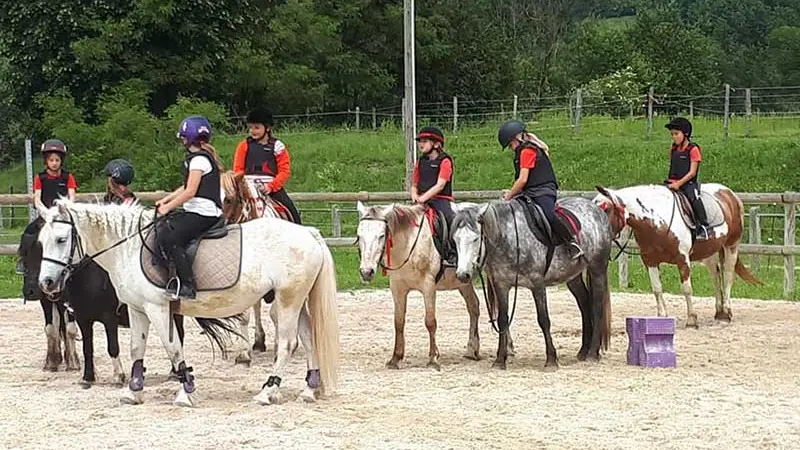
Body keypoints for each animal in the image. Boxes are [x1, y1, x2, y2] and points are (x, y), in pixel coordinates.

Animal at [34, 199, 340, 406]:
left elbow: (173, 347)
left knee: (288, 343)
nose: (46, 283)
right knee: (308, 339)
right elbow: (136, 348)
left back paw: (268, 391)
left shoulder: (158, 308)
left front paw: (185, 391)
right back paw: (309, 389)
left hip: (287, 301)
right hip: (296, 301)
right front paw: (133, 391)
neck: (129, 248)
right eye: (41, 241)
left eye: (61, 239)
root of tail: (308, 232)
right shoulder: (137, 310)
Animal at [220, 171, 298, 364]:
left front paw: (279, 349)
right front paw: (243, 353)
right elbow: (244, 315)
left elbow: (276, 314)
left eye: (229, 199)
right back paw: (258, 341)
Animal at [358, 201, 484, 370]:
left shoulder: (428, 286)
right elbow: (398, 322)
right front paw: (395, 358)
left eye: (381, 236)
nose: (366, 272)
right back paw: (472, 350)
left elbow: (430, 322)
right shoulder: (397, 288)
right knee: (473, 307)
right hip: (464, 282)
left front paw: (433, 359)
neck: (409, 246)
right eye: (359, 236)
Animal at [450, 197, 612, 370]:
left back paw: (592, 353)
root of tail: (597, 209)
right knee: (584, 303)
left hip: (598, 270)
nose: (462, 274)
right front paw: (500, 360)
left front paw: (551, 360)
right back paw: (583, 351)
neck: (509, 238)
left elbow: (544, 320)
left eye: (475, 238)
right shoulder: (502, 286)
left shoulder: (537, 284)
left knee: (597, 306)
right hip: (572, 277)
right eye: (455, 239)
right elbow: (502, 320)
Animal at [592, 183, 764, 326]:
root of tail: (730, 194)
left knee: (728, 276)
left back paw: (727, 314)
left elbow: (686, 288)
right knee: (716, 278)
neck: (657, 221)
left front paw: (691, 319)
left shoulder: (683, 260)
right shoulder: (650, 261)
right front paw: (662, 316)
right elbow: (657, 288)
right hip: (710, 252)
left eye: (606, 208)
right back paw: (719, 312)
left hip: (731, 246)